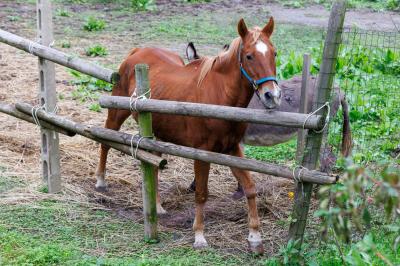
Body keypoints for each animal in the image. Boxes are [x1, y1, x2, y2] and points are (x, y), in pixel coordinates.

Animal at [95, 16, 282, 254]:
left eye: (273, 53)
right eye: (249, 55)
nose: (272, 95)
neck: (219, 96)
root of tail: (137, 52)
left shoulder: (231, 149)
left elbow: (249, 188)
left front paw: (255, 237)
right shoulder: (202, 153)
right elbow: (201, 192)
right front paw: (199, 236)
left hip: (155, 132)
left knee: (152, 164)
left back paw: (157, 206)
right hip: (116, 113)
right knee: (105, 142)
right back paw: (100, 181)